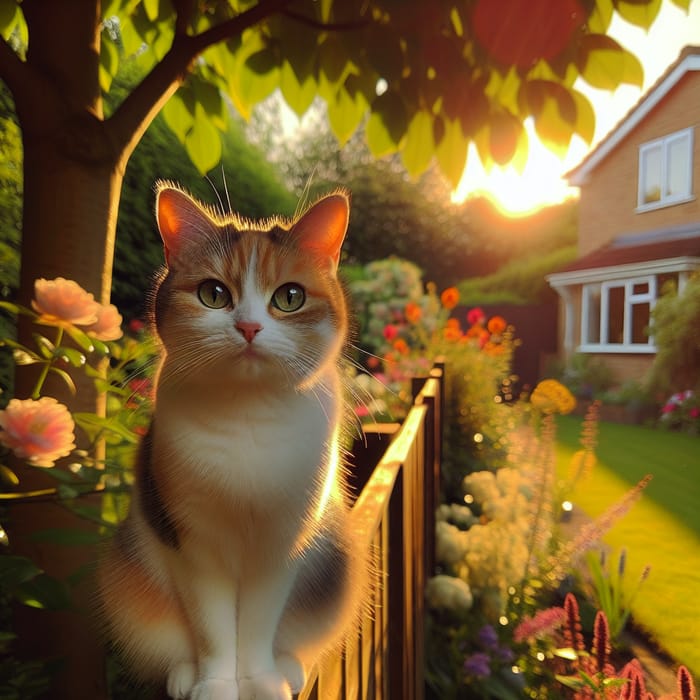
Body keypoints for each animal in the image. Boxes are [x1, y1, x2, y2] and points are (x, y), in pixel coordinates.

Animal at [98, 183, 366, 696]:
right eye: (213, 294)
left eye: (290, 297)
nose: (248, 327)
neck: (248, 416)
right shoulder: (191, 542)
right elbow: (213, 626)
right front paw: (218, 683)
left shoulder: (283, 542)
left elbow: (258, 622)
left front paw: (259, 680)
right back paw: (184, 675)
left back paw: (287, 668)